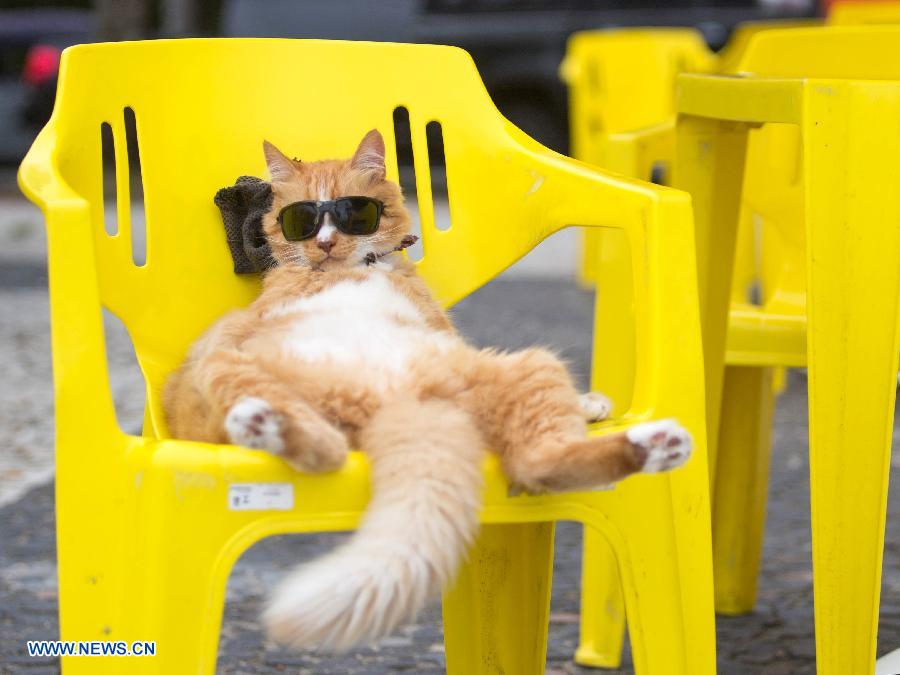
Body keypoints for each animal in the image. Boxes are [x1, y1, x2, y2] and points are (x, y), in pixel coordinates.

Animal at [163, 129, 696, 652]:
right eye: (302, 220)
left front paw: (591, 404)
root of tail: (402, 401)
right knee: (528, 462)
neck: (353, 267)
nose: (328, 243)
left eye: (352, 211)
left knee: (528, 461)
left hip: (513, 372)